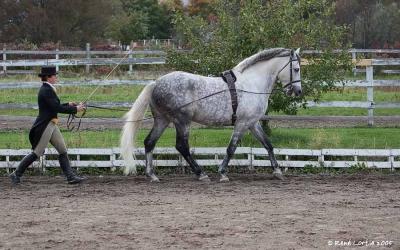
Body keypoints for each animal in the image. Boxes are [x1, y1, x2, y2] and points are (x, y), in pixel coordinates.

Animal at [120, 47, 302, 183]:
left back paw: (152, 175)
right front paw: (222, 173)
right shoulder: (242, 123)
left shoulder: (253, 123)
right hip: (182, 121)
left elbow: (268, 145)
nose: (298, 91)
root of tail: (156, 83)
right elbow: (231, 148)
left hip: (162, 120)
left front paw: (277, 171)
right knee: (182, 146)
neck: (253, 84)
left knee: (150, 142)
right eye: (296, 69)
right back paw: (201, 174)